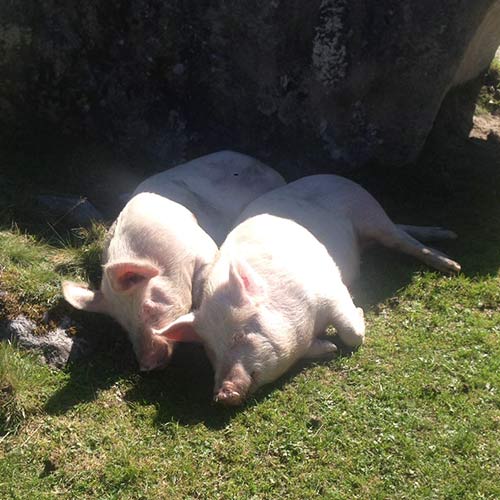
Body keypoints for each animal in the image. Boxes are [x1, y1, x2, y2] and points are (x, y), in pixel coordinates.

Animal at [61, 150, 286, 370]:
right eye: (123, 324)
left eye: (148, 306)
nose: (146, 365)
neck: (165, 259)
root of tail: (263, 165)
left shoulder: (204, 248)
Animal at [160, 176, 460, 406]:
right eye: (210, 351)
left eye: (239, 336)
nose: (222, 394)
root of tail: (328, 176)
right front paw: (329, 348)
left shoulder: (332, 289)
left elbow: (351, 333)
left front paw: (358, 315)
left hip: (370, 212)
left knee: (402, 240)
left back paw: (451, 262)